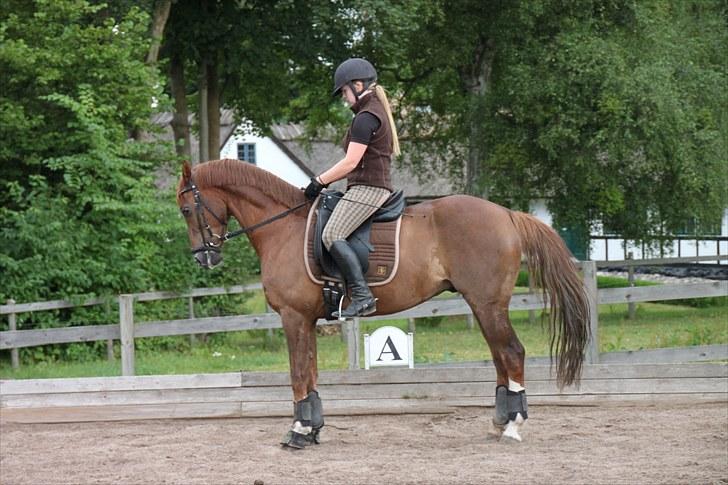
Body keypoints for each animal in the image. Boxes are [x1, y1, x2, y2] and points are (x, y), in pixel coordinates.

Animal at [178, 158, 592, 442]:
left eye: (185, 209)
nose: (203, 258)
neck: (283, 227)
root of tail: (506, 214)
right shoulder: (306, 319)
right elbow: (310, 371)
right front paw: (313, 429)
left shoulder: (293, 316)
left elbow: (297, 373)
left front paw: (298, 431)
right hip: (484, 305)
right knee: (500, 356)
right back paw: (500, 421)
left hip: (488, 304)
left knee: (511, 353)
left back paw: (512, 427)